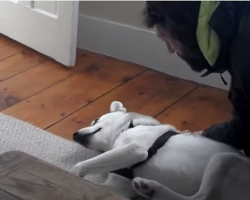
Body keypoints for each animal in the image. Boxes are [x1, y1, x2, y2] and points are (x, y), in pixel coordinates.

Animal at [69, 101, 250, 200]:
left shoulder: (134, 150)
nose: (74, 135)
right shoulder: (120, 186)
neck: (126, 128)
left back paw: (152, 188)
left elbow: (81, 166)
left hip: (223, 159)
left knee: (200, 198)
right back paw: (149, 189)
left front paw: (71, 173)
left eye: (95, 120)